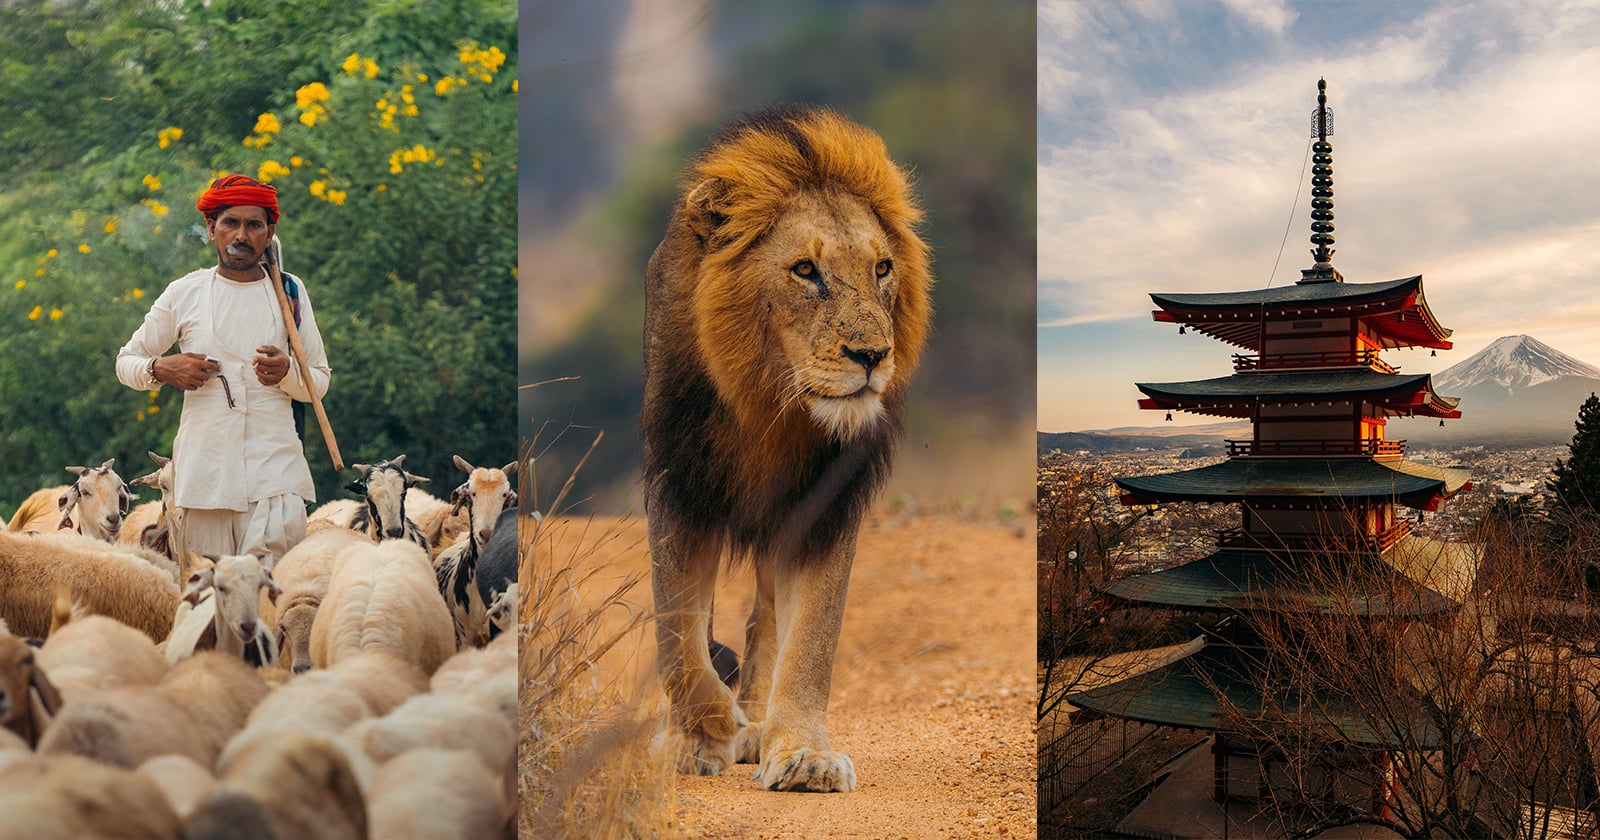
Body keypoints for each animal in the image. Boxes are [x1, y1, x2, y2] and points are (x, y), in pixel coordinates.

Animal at [641, 105, 932, 792]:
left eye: (882, 269)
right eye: (805, 270)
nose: (872, 356)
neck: (772, 404)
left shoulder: (826, 506)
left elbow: (812, 639)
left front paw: (802, 754)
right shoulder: (678, 484)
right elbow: (675, 627)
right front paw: (702, 729)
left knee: (767, 618)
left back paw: (758, 721)